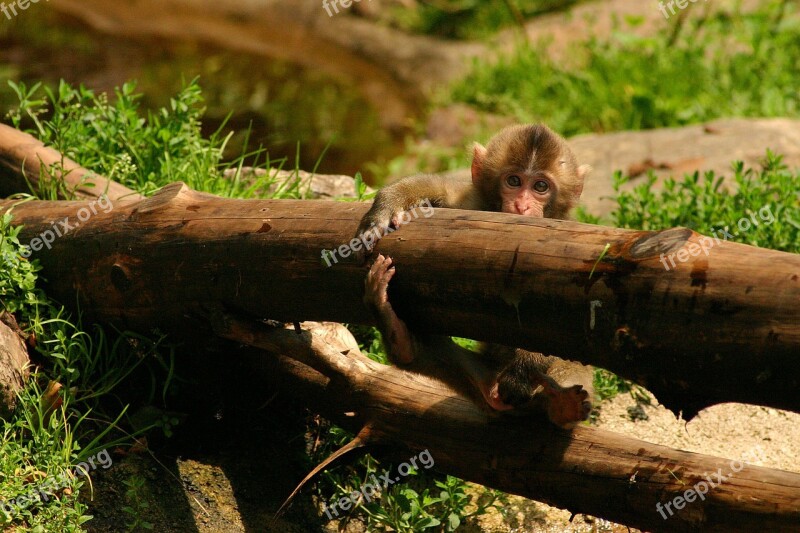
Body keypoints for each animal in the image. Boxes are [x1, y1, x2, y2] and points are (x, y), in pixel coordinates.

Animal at [356, 124, 592, 428]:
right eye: (513, 181)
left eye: (541, 186)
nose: (521, 206)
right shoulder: (472, 204)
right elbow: (442, 190)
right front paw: (386, 205)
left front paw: (523, 371)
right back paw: (399, 335)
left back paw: (561, 407)